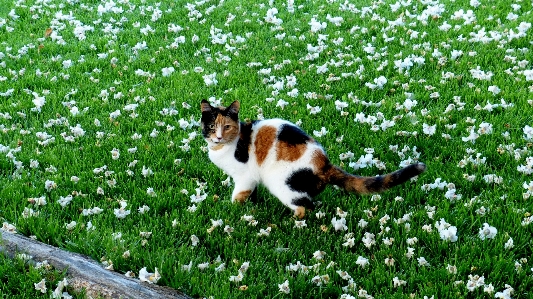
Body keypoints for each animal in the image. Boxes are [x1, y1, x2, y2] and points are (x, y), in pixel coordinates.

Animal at [198, 99, 424, 219]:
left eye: (227, 127)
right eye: (212, 127)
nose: (218, 137)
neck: (225, 146)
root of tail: (324, 163)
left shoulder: (244, 176)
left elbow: (238, 194)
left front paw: (232, 209)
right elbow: (252, 194)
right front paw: (251, 205)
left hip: (282, 183)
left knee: (304, 206)